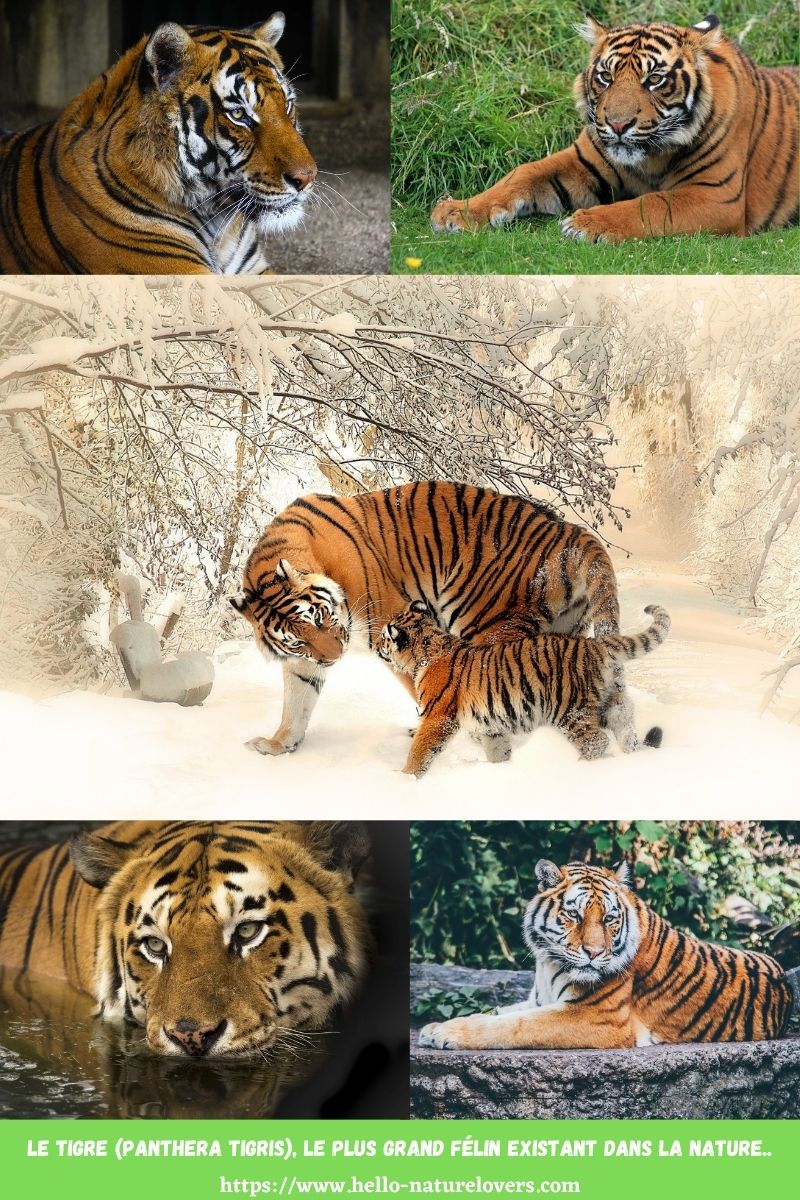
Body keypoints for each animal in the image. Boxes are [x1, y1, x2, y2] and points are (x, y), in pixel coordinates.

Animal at [228, 481, 636, 759]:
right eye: (298, 639)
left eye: (320, 618)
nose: (334, 658)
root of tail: (572, 532)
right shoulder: (303, 661)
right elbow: (296, 701)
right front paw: (277, 744)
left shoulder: (392, 626)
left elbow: (425, 687)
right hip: (564, 634)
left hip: (488, 625)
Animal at [377, 601, 669, 776]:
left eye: (383, 637)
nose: (378, 647)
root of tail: (595, 644)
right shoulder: (490, 726)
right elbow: (498, 751)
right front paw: (501, 772)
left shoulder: (437, 718)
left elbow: (420, 751)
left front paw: (405, 779)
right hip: (613, 702)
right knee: (626, 730)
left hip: (569, 710)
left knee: (596, 741)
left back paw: (580, 769)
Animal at [419, 859, 798, 1050]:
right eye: (574, 915)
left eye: (609, 919)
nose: (594, 952)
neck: (548, 963)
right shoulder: (538, 1000)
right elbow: (496, 1013)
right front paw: (435, 1027)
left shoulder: (597, 1016)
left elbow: (513, 1025)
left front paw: (444, 1034)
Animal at [430, 15, 799, 242]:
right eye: (606, 76)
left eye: (654, 79)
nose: (618, 124)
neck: (651, 158)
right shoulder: (582, 160)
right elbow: (522, 174)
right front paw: (456, 211)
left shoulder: (717, 195)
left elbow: (652, 203)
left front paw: (586, 223)